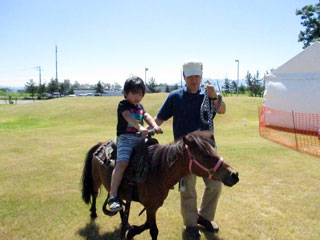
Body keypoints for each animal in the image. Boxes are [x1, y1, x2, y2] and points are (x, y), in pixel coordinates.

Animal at [81, 132, 239, 239]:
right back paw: (94, 213)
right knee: (94, 194)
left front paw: (131, 231)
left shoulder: (152, 206)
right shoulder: (151, 207)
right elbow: (153, 230)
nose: (234, 175)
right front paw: (132, 231)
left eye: (214, 150)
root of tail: (101, 145)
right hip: (96, 181)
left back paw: (124, 223)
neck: (157, 170)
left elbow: (146, 224)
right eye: (205, 156)